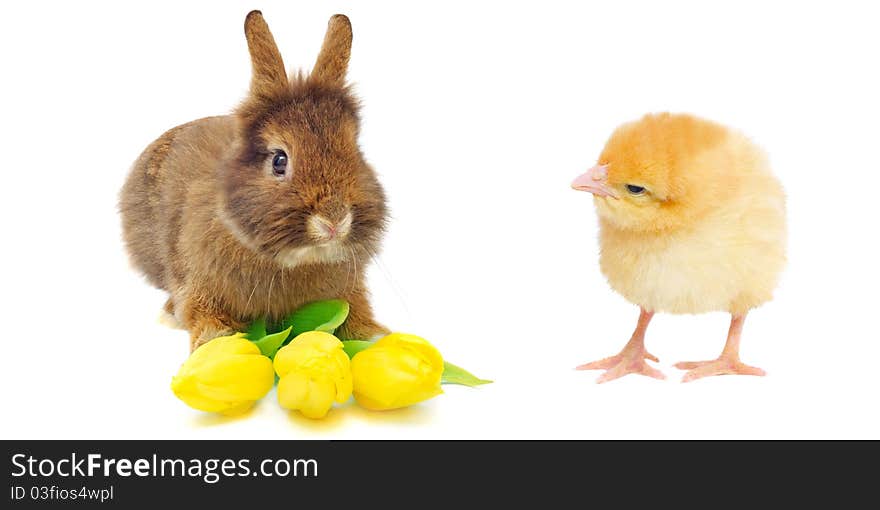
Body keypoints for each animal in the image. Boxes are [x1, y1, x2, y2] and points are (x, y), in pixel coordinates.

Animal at [118, 10, 386, 350]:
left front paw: (375, 335)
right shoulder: (198, 281)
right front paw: (215, 340)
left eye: (356, 151)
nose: (334, 220)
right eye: (279, 160)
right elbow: (200, 309)